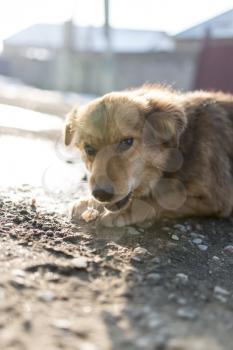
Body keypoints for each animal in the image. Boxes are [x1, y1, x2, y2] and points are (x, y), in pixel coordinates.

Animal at [63, 85, 233, 227]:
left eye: (127, 142)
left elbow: (168, 197)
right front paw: (90, 202)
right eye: (88, 148)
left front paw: (128, 210)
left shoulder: (218, 199)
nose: (101, 194)